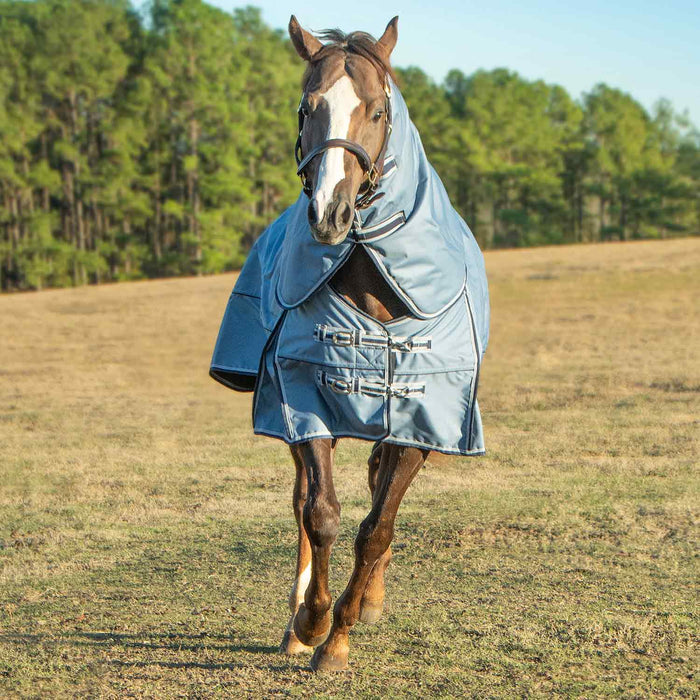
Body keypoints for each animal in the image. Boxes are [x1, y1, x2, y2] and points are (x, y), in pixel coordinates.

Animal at [210, 16, 490, 671]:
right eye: (307, 107)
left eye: (378, 110)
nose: (330, 213)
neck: (374, 281)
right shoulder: (305, 401)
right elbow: (322, 514)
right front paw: (312, 623)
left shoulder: (420, 419)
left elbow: (377, 525)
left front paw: (341, 633)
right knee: (302, 503)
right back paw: (300, 619)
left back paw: (366, 601)